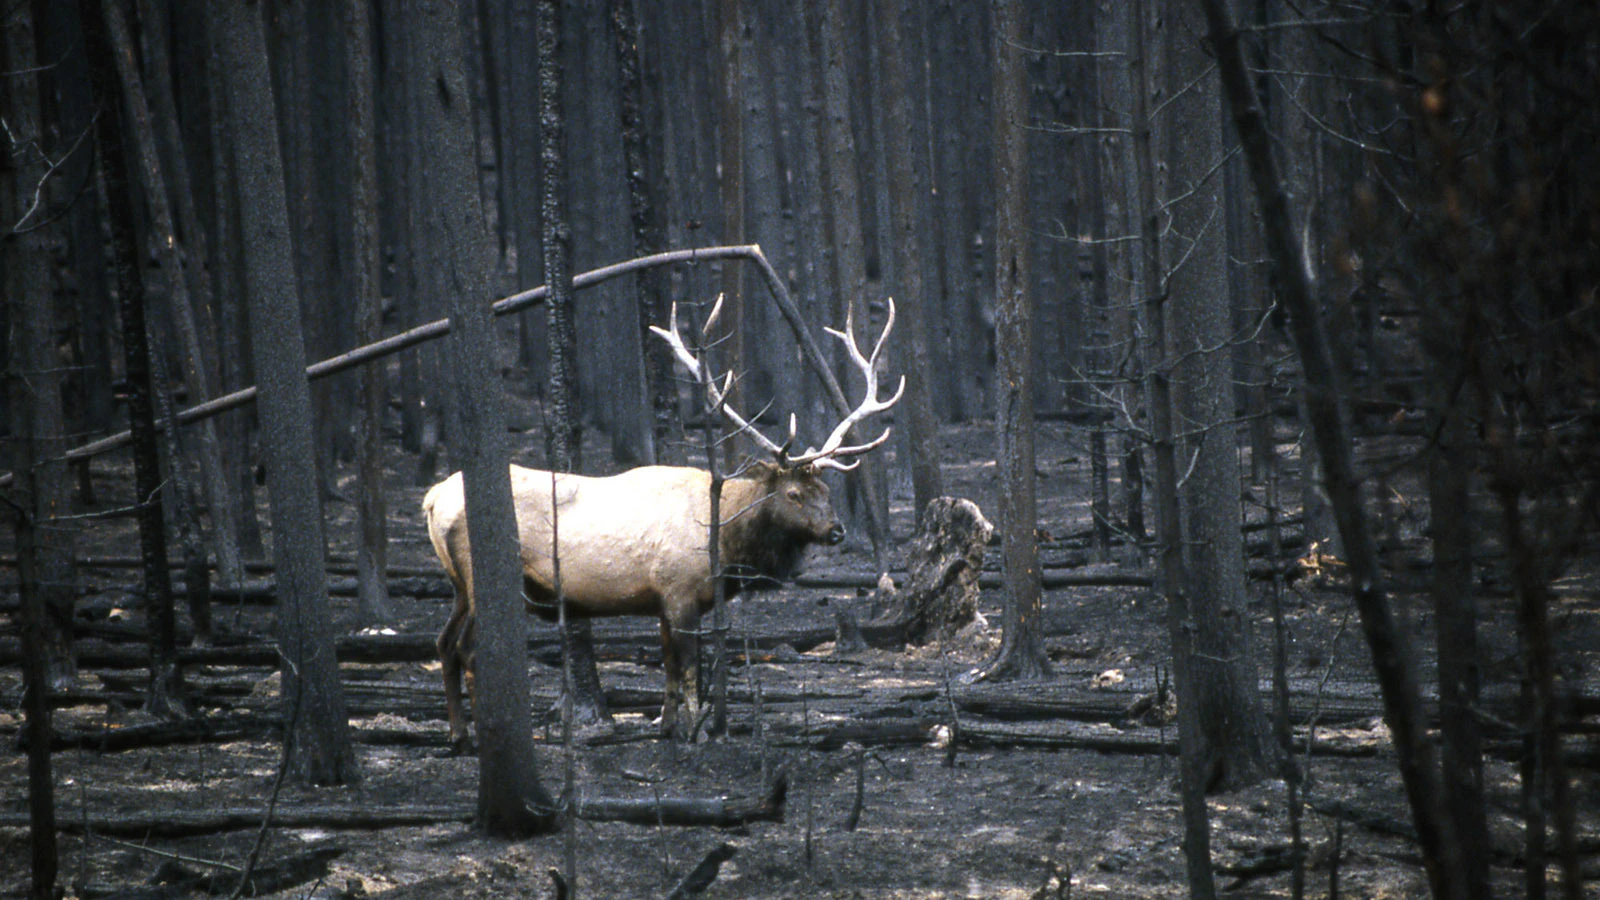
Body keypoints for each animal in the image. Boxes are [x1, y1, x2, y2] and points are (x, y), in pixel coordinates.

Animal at [424, 298, 902, 745]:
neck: (725, 543)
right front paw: (698, 731)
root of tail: (432, 498)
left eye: (827, 491)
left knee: (444, 642)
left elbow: (670, 663)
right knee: (468, 649)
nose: (836, 530)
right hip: (481, 576)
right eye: (794, 494)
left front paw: (669, 726)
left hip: (458, 583)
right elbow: (689, 664)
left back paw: (457, 733)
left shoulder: (662, 599)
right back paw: (479, 735)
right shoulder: (679, 589)